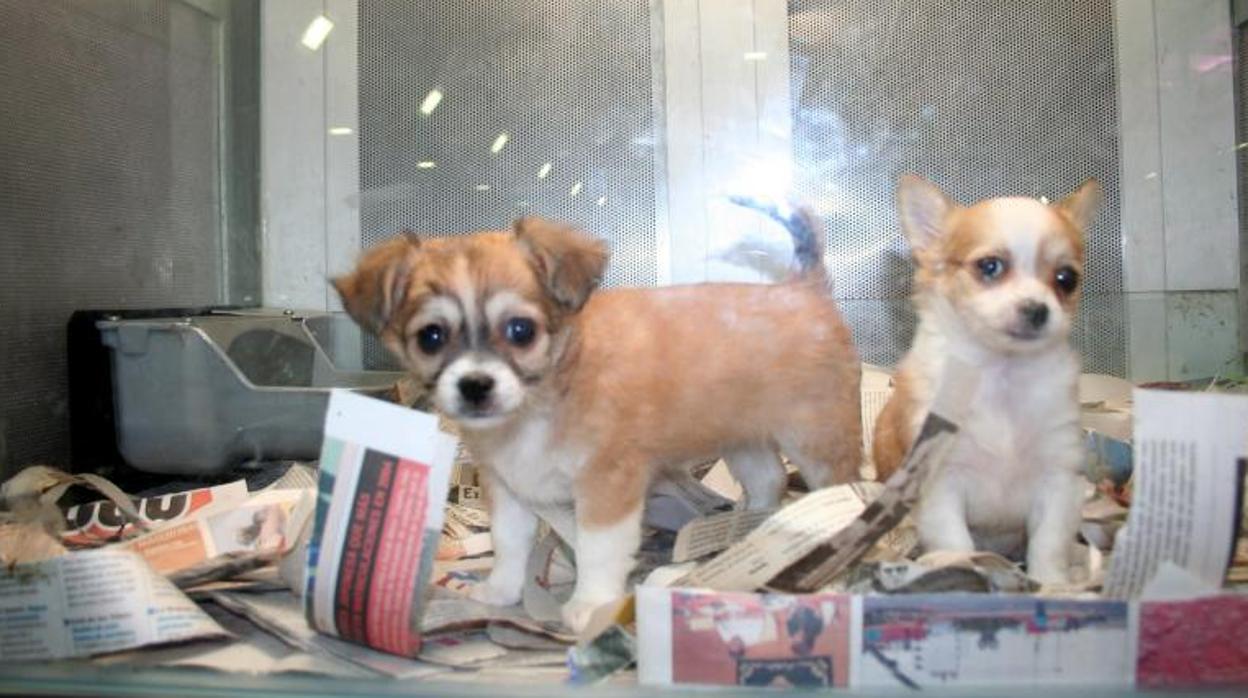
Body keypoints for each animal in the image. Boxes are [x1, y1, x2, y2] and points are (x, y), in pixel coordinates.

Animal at [329, 209, 858, 631]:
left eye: (520, 331)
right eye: (431, 337)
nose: (476, 386)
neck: (540, 402)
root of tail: (804, 289)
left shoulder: (607, 486)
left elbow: (599, 549)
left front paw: (592, 604)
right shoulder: (508, 487)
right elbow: (509, 543)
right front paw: (501, 591)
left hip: (816, 441)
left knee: (843, 488)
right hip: (743, 440)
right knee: (769, 479)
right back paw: (746, 533)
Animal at [868, 174, 1103, 584]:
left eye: (1066, 279)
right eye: (989, 266)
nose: (1037, 309)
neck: (1000, 373)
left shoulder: (1058, 478)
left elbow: (1049, 542)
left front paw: (1052, 585)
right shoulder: (940, 483)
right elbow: (955, 541)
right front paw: (965, 571)